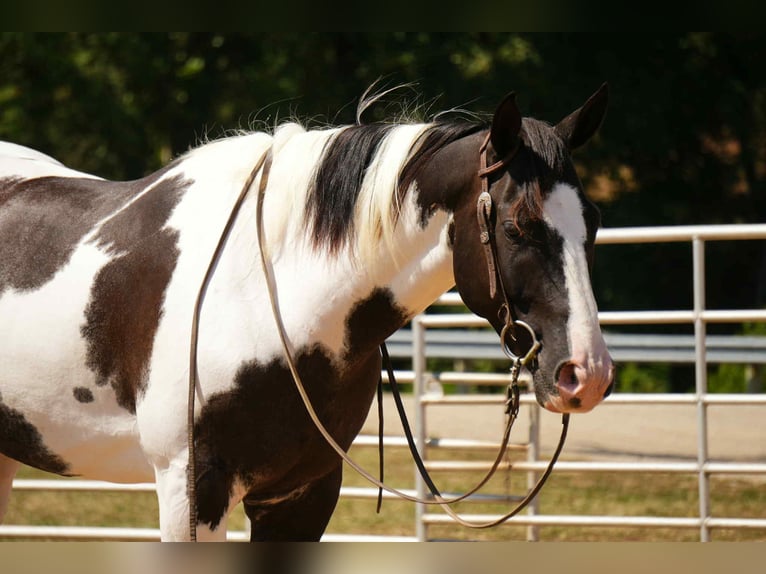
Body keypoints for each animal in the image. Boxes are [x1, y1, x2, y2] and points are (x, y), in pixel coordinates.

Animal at [0, 85, 614, 541]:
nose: (585, 374)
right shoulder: (190, 489)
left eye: (594, 220)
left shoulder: (303, 494)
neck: (260, 292)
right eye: (517, 226)